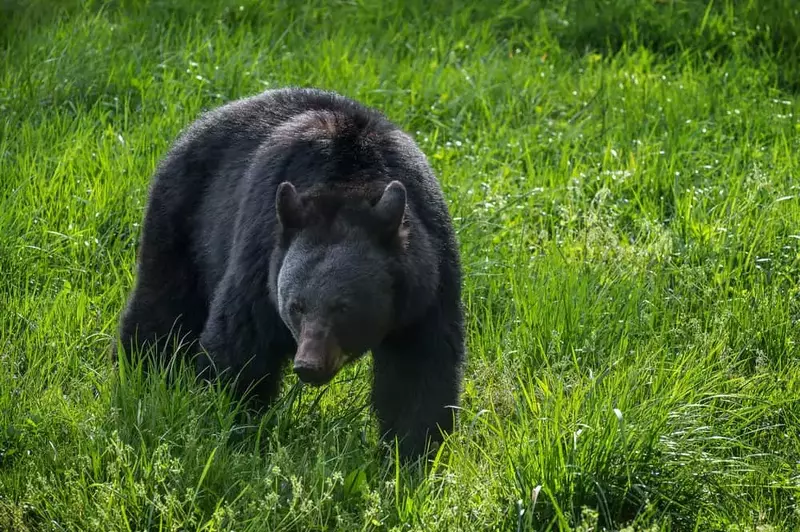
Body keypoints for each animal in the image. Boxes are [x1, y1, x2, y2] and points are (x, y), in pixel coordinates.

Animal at [116, 87, 465, 459]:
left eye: (344, 307)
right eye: (296, 306)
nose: (309, 365)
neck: (351, 184)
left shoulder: (427, 281)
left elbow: (421, 368)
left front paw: (411, 454)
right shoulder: (261, 257)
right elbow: (241, 343)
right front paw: (230, 426)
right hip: (182, 218)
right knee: (163, 306)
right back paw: (138, 372)